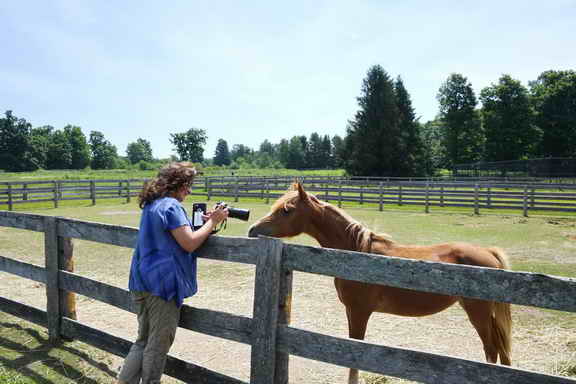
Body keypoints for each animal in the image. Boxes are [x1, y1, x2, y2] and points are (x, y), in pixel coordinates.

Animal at [248, 182, 512, 384]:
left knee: (491, 351)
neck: (357, 252)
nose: (252, 230)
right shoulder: (351, 311)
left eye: (286, 210)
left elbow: (355, 352)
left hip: (478, 314)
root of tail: (488, 252)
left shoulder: (359, 311)